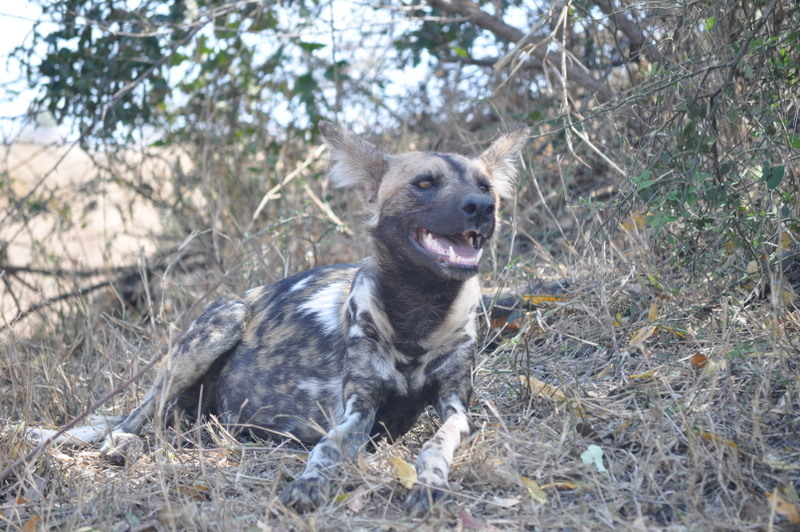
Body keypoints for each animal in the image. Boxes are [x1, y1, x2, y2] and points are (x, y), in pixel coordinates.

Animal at [47, 122, 528, 512]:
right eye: (425, 182)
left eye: (486, 187)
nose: (480, 207)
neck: (419, 314)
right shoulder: (356, 410)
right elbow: (327, 450)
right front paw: (310, 482)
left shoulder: (455, 406)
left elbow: (436, 443)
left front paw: (429, 481)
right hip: (221, 325)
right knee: (131, 418)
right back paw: (122, 443)